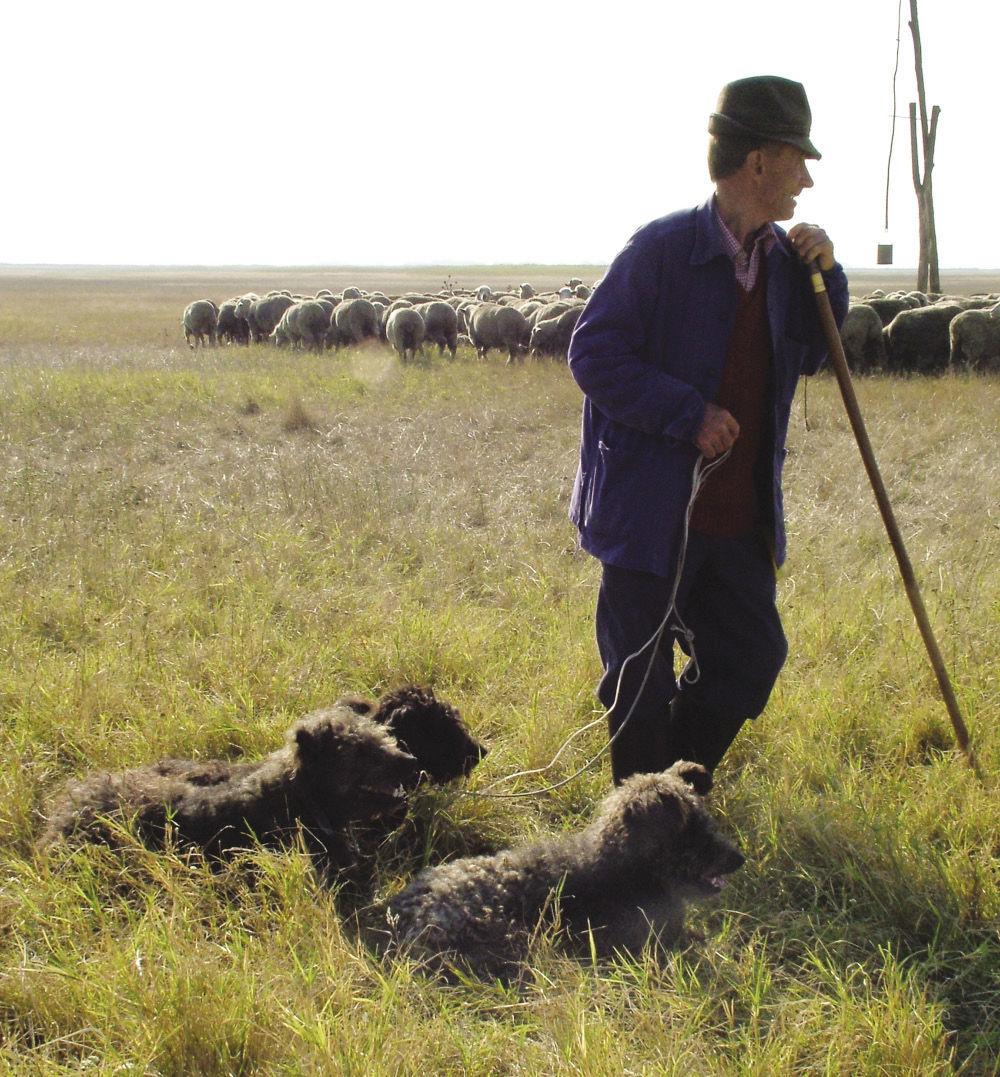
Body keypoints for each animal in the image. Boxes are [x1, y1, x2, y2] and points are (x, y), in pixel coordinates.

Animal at [385, 762, 744, 982]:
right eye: (690, 831)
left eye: (705, 821)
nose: (739, 859)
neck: (625, 870)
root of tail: (398, 912)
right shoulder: (651, 946)